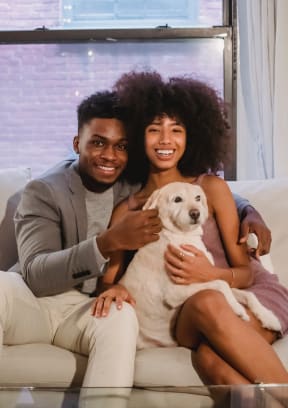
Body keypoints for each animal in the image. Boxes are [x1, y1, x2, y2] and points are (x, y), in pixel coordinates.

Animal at [119, 183, 282, 350]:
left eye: (198, 198)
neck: (182, 236)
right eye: (177, 199)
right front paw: (237, 309)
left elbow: (248, 294)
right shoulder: (174, 292)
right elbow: (222, 284)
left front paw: (269, 318)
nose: (195, 213)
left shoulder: (206, 277)